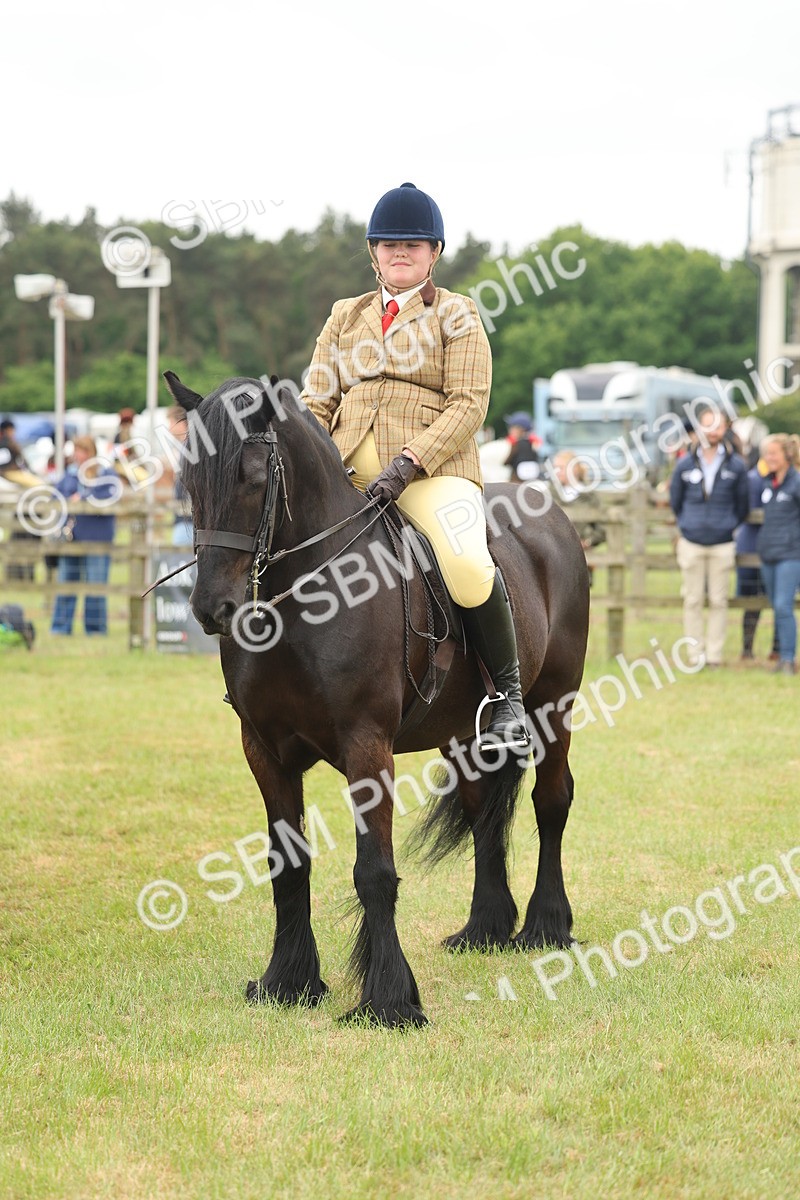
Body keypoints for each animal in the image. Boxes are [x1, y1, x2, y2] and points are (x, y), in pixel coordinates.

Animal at [165, 372, 590, 1028]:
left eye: (254, 477)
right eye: (190, 482)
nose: (213, 609)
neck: (307, 598)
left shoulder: (367, 746)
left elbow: (375, 872)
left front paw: (390, 999)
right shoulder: (264, 751)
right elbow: (288, 866)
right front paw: (288, 982)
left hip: (554, 706)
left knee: (552, 803)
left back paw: (546, 926)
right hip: (463, 734)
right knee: (483, 812)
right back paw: (484, 929)